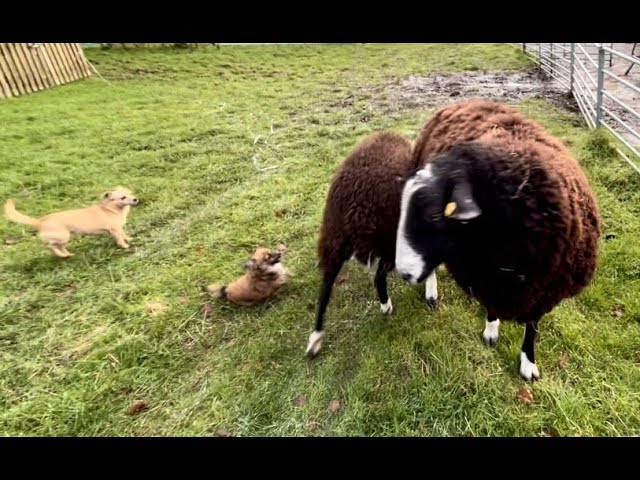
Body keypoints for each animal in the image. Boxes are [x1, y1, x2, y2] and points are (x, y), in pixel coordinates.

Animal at [3, 187, 139, 258]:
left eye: (130, 193)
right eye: (123, 197)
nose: (135, 199)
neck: (110, 209)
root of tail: (40, 221)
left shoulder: (120, 228)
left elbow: (124, 234)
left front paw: (130, 239)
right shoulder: (115, 230)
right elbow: (120, 240)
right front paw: (125, 246)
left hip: (64, 239)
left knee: (59, 246)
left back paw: (67, 254)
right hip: (63, 236)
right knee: (50, 246)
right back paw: (62, 255)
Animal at [306, 131, 424, 356]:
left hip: (332, 237)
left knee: (325, 287)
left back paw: (315, 339)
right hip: (389, 241)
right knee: (378, 278)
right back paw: (386, 307)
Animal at [396, 98, 600, 382]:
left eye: (434, 215)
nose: (403, 272)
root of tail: (463, 101)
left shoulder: (543, 291)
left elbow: (532, 327)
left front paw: (528, 363)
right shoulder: (486, 278)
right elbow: (492, 307)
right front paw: (491, 332)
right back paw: (431, 293)